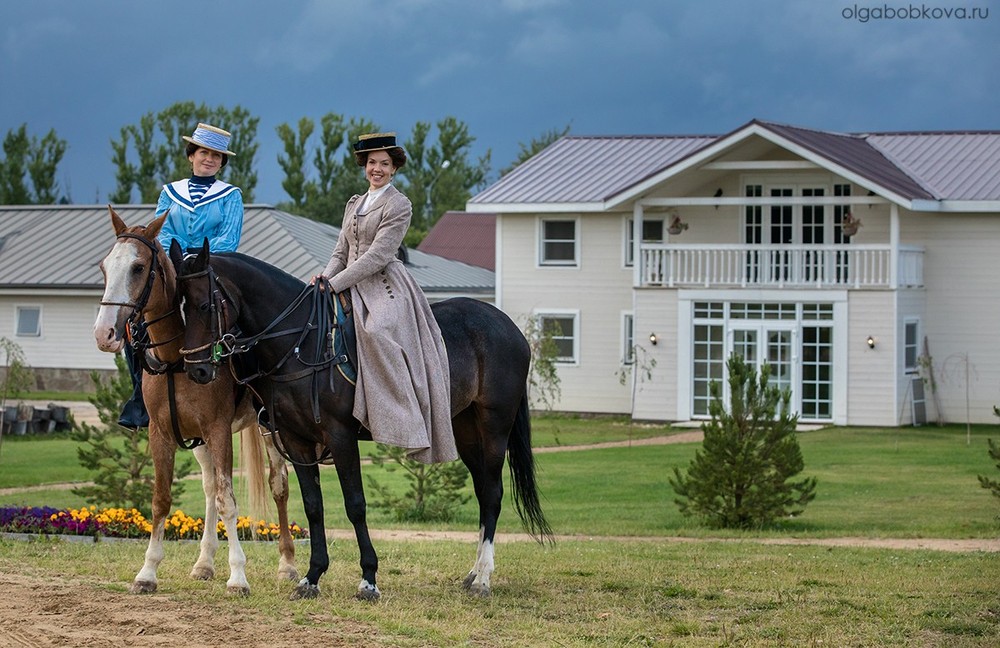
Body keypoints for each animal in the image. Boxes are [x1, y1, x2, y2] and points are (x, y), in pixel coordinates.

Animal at [92, 209, 298, 596]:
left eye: (138, 268)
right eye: (104, 266)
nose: (104, 333)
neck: (176, 358)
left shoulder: (218, 430)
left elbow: (228, 501)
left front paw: (238, 577)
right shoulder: (161, 433)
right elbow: (162, 500)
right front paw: (147, 572)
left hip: (267, 430)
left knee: (277, 484)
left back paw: (287, 565)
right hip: (198, 439)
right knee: (208, 488)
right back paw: (204, 562)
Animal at [170, 246, 548, 600]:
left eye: (203, 305)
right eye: (178, 306)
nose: (196, 370)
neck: (303, 342)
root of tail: (507, 325)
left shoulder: (341, 436)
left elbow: (355, 505)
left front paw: (368, 579)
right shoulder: (296, 440)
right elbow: (313, 507)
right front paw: (311, 577)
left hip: (493, 427)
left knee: (493, 494)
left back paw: (483, 578)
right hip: (466, 431)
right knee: (484, 492)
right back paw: (473, 573)